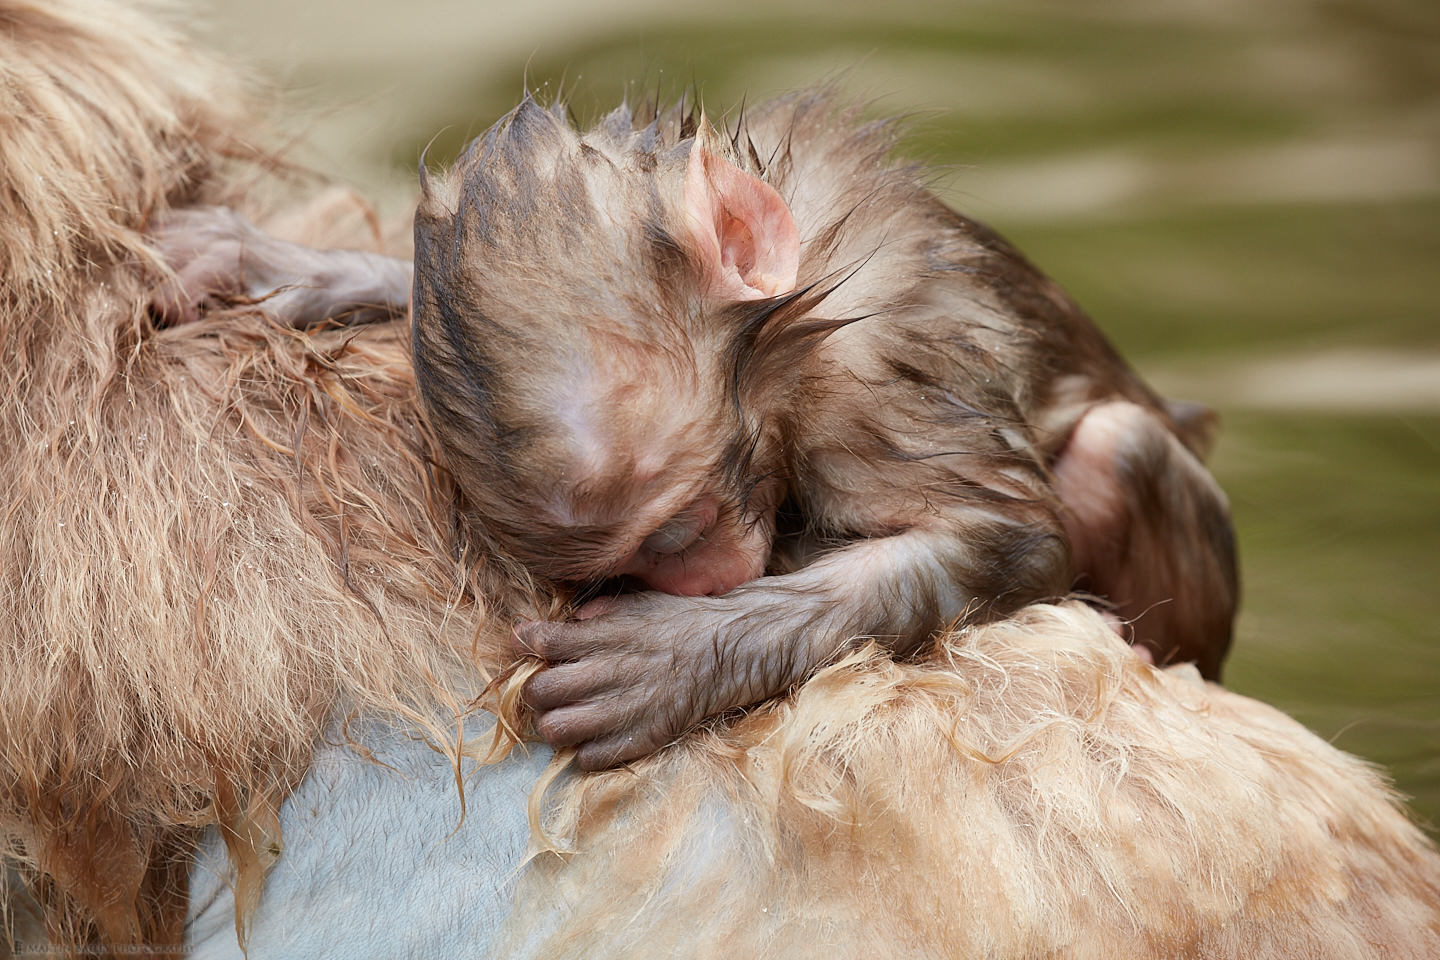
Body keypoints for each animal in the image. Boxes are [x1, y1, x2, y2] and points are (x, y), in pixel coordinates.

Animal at [154, 92, 1238, 765]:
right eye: (635, 560)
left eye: (680, 530)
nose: (706, 585)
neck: (806, 313)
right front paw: (295, 265)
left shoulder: (886, 379)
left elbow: (1010, 539)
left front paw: (674, 660)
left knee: (1117, 451)